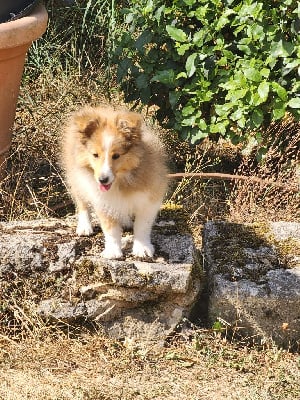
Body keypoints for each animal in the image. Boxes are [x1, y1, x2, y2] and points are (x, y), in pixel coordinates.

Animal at [61, 104, 168, 258]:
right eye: (95, 155)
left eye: (116, 156)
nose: (102, 180)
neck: (122, 181)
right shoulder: (102, 201)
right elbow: (110, 229)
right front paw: (113, 251)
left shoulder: (151, 199)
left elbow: (142, 226)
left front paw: (142, 248)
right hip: (76, 178)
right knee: (82, 203)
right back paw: (84, 226)